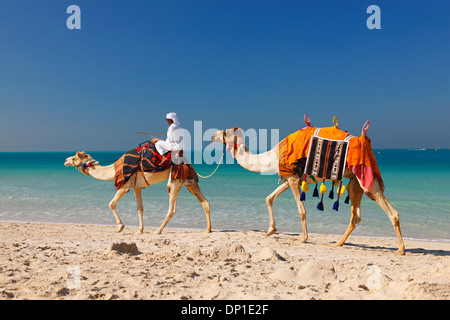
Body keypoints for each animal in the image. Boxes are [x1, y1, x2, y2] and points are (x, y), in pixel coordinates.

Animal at [64, 150, 212, 235]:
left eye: (74, 158)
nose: (65, 160)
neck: (114, 170)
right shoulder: (137, 187)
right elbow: (140, 208)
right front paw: (139, 230)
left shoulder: (125, 185)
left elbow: (111, 204)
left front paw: (120, 227)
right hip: (190, 182)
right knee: (205, 202)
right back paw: (208, 229)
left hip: (176, 180)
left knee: (172, 208)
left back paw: (158, 231)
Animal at [213, 127, 406, 255]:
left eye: (225, 131)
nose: (213, 135)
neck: (272, 157)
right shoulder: (291, 177)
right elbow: (269, 198)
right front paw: (270, 230)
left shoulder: (292, 178)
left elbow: (301, 210)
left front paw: (303, 238)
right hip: (355, 182)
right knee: (356, 215)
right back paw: (338, 243)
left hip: (366, 176)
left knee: (391, 211)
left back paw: (400, 249)